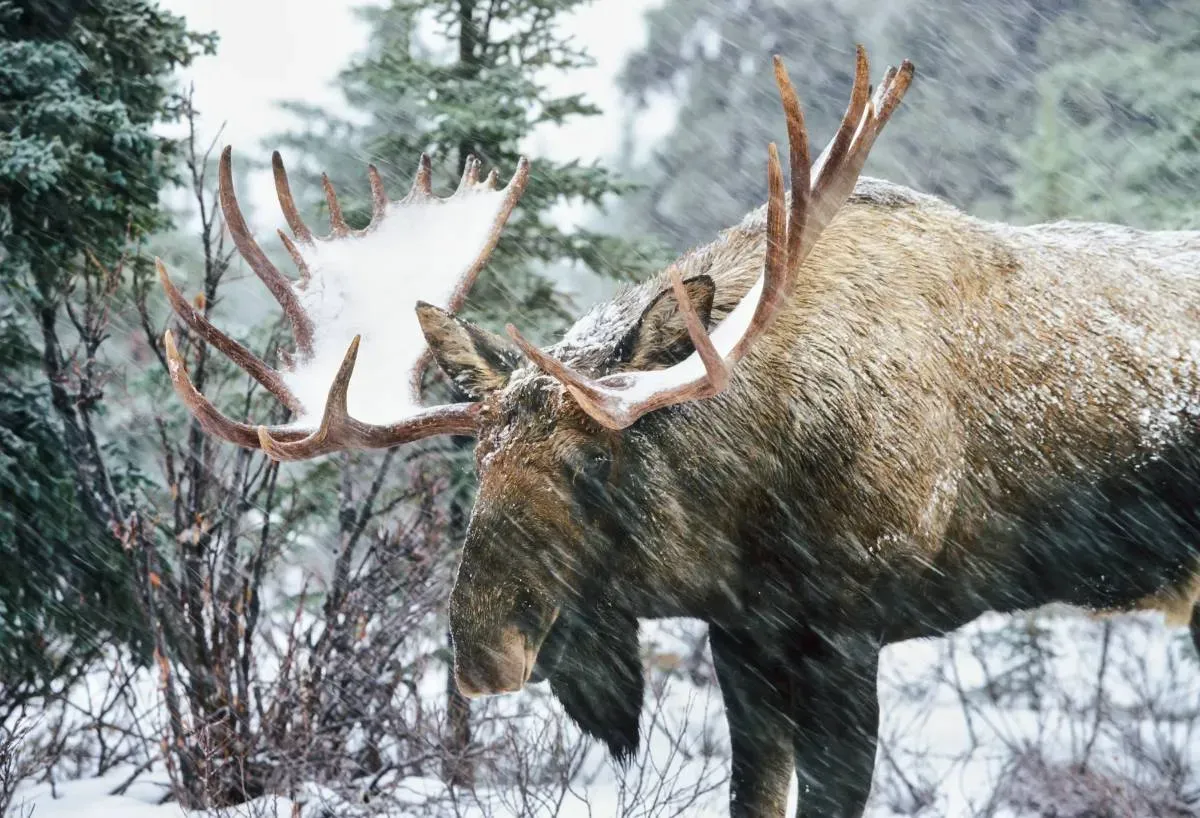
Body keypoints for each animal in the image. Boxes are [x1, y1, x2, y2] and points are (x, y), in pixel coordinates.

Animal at [159, 47, 1200, 810]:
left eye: (595, 464)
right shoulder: (742, 636)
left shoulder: (847, 630)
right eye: (478, 458)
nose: (481, 656)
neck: (743, 517)